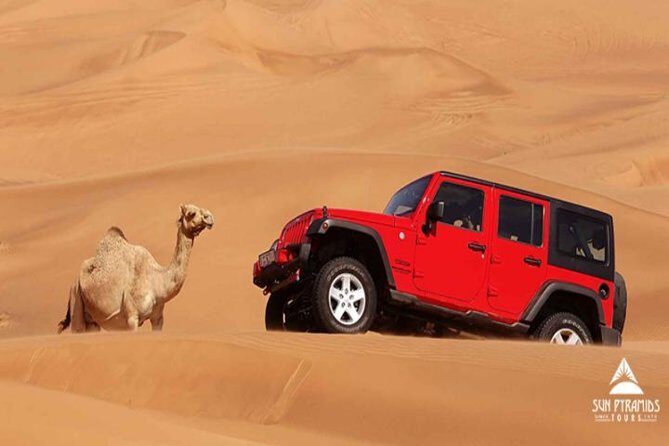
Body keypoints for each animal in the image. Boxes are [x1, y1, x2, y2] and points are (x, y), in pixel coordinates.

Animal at [57, 204, 214, 333]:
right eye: (191, 213)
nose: (210, 217)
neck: (157, 281)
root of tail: (74, 282)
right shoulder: (132, 318)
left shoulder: (158, 318)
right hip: (76, 298)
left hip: (92, 321)